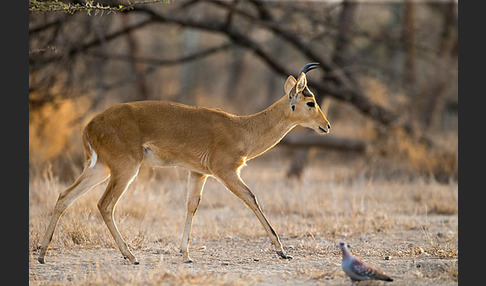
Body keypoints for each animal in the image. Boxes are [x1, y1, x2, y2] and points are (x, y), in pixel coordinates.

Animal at [38, 62, 330, 264]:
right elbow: (251, 198)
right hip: (125, 169)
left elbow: (192, 206)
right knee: (104, 204)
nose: (326, 126)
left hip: (100, 168)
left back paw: (41, 253)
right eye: (310, 101)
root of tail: (90, 124)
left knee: (64, 196)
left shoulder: (198, 173)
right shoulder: (226, 172)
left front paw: (185, 254)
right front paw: (281, 251)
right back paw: (131, 256)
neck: (242, 129)